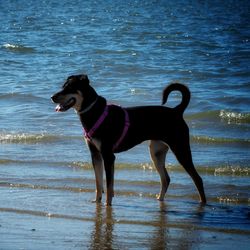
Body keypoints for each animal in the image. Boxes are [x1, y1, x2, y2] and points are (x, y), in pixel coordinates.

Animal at [51, 74, 207, 205]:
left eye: (70, 87)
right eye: (63, 86)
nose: (52, 97)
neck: (94, 111)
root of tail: (177, 111)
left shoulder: (108, 156)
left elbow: (108, 185)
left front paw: (107, 204)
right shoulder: (95, 154)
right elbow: (98, 182)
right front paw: (97, 201)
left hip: (180, 148)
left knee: (197, 179)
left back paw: (202, 203)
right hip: (156, 152)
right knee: (166, 179)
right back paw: (159, 200)